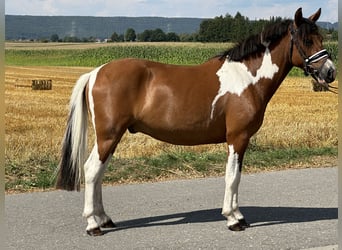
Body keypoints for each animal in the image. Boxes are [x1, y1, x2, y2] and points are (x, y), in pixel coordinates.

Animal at [56, 7, 336, 234]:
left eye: (321, 38)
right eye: (307, 40)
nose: (330, 72)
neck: (246, 78)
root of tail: (96, 72)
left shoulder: (239, 140)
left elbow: (235, 176)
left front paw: (237, 216)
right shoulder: (238, 138)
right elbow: (232, 176)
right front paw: (233, 219)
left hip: (112, 137)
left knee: (99, 173)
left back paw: (104, 219)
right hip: (109, 135)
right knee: (92, 170)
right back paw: (93, 225)